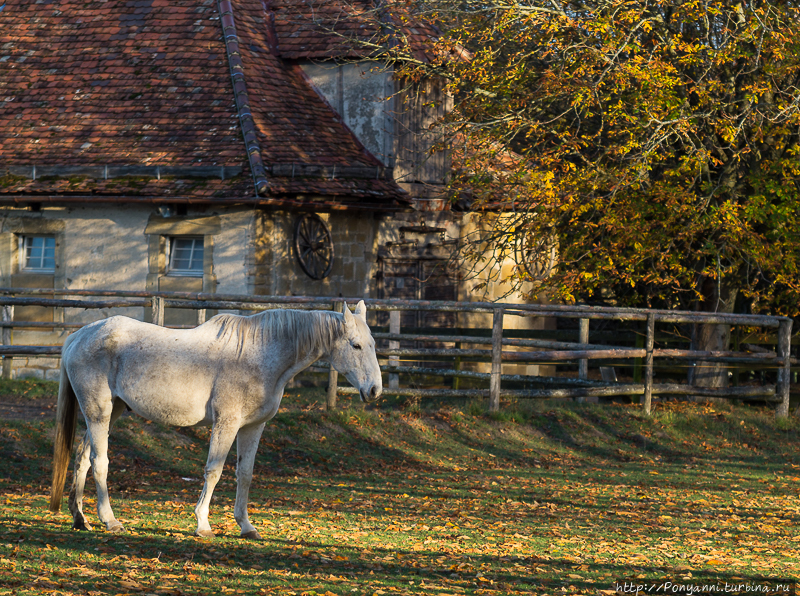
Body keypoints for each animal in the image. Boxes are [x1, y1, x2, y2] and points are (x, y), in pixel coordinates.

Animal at [50, 300, 382, 536]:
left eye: (374, 345)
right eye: (355, 345)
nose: (375, 390)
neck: (259, 355)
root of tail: (79, 335)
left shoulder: (253, 427)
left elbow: (244, 473)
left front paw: (246, 527)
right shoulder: (227, 423)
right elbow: (214, 470)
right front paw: (203, 525)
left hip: (111, 411)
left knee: (82, 458)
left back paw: (80, 518)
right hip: (99, 413)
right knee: (99, 462)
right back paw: (110, 520)